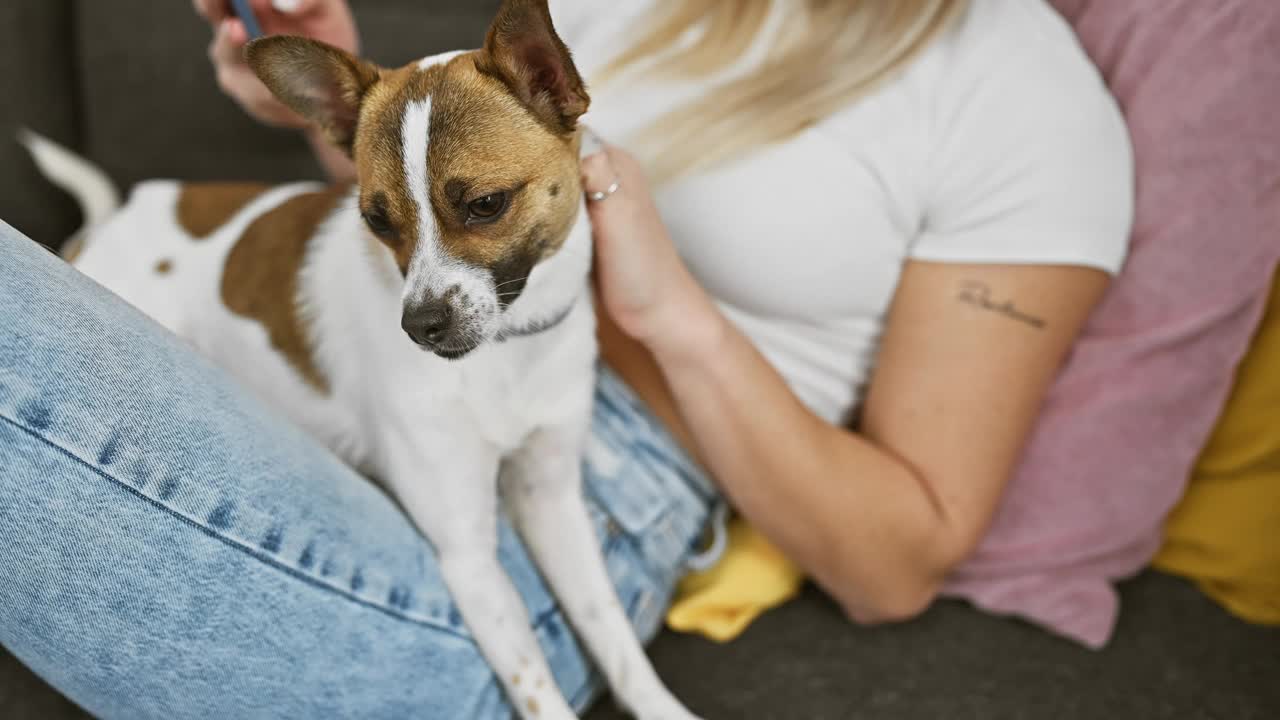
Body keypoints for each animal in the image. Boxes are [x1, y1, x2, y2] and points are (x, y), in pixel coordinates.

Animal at [20, 1, 701, 717]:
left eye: (486, 205)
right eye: (377, 222)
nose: (420, 325)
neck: (507, 352)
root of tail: (101, 226)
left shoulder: (552, 503)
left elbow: (613, 637)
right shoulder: (468, 555)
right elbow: (537, 689)